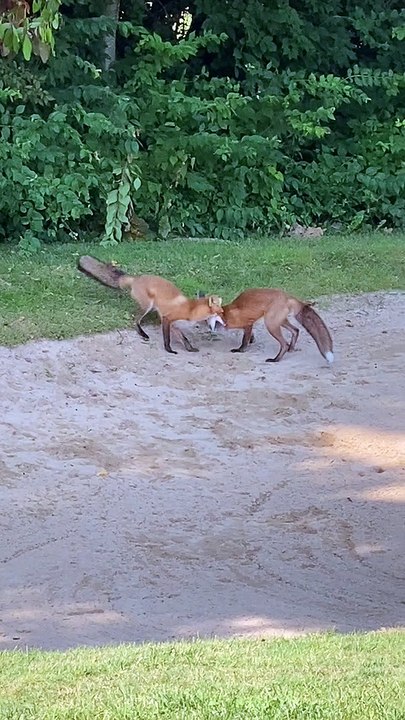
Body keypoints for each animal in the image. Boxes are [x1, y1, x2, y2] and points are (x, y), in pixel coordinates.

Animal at [77, 255, 224, 354]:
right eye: (220, 311)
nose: (224, 316)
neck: (190, 310)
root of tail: (136, 278)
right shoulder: (167, 319)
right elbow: (167, 339)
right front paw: (169, 350)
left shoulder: (173, 324)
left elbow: (184, 338)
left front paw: (190, 348)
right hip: (147, 306)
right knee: (135, 320)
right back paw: (143, 333)